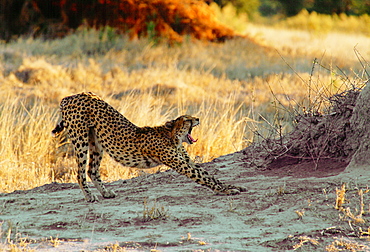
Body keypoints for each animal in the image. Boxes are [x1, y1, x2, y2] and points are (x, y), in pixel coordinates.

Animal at [50, 91, 244, 202]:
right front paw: (228, 190)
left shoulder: (186, 161)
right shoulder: (181, 164)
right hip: (81, 140)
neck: (172, 136)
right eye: (187, 119)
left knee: (92, 170)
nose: (197, 119)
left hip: (96, 141)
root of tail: (70, 96)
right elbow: (204, 177)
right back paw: (90, 196)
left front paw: (233, 186)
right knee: (80, 172)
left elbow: (209, 175)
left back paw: (106, 193)